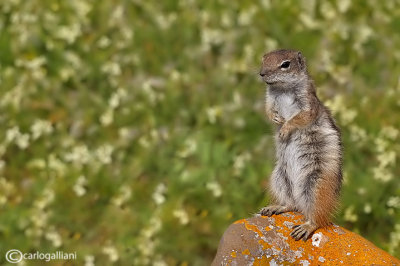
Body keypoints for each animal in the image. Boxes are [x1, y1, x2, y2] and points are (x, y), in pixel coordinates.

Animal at [258, 49, 342, 241]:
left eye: (285, 64)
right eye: (264, 59)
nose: (261, 73)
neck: (282, 89)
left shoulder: (308, 103)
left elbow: (301, 117)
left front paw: (284, 128)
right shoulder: (269, 100)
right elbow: (267, 110)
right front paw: (276, 119)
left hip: (316, 187)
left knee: (317, 217)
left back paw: (306, 226)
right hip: (280, 179)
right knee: (291, 204)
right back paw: (276, 207)